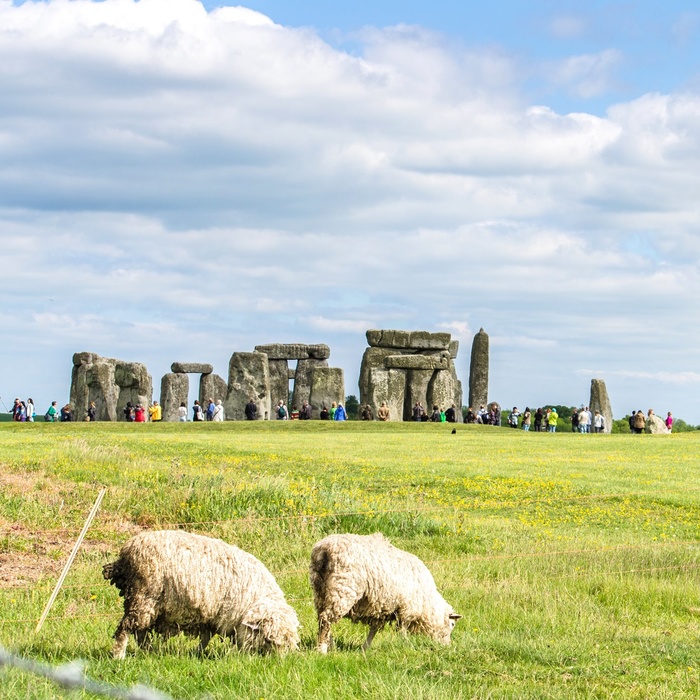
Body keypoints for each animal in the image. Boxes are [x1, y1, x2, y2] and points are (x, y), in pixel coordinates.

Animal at [102, 532, 300, 656]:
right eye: (268, 641)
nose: (277, 661)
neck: (254, 600)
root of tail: (127, 551)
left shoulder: (211, 615)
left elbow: (206, 637)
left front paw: (197, 654)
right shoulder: (222, 615)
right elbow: (207, 636)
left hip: (147, 602)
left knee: (140, 632)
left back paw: (150, 652)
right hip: (144, 596)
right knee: (126, 629)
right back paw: (119, 656)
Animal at [310, 532, 462, 652]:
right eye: (452, 624)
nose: (447, 646)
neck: (427, 602)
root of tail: (325, 550)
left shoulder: (381, 609)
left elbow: (373, 630)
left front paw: (365, 648)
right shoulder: (406, 609)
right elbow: (402, 631)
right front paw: (405, 645)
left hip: (321, 591)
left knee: (322, 618)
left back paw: (331, 646)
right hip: (342, 590)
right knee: (326, 620)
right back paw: (322, 649)